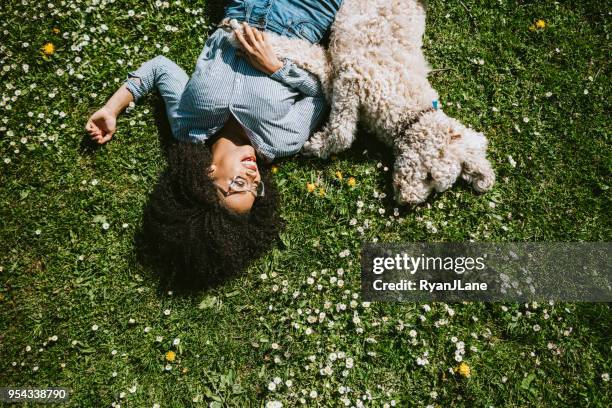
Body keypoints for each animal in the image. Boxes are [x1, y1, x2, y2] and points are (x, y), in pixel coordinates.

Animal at [302, 0, 498, 204]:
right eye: (429, 176)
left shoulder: (344, 78)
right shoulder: (355, 77)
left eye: (434, 188)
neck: (410, 113)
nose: (408, 202)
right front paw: (317, 145)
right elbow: (342, 133)